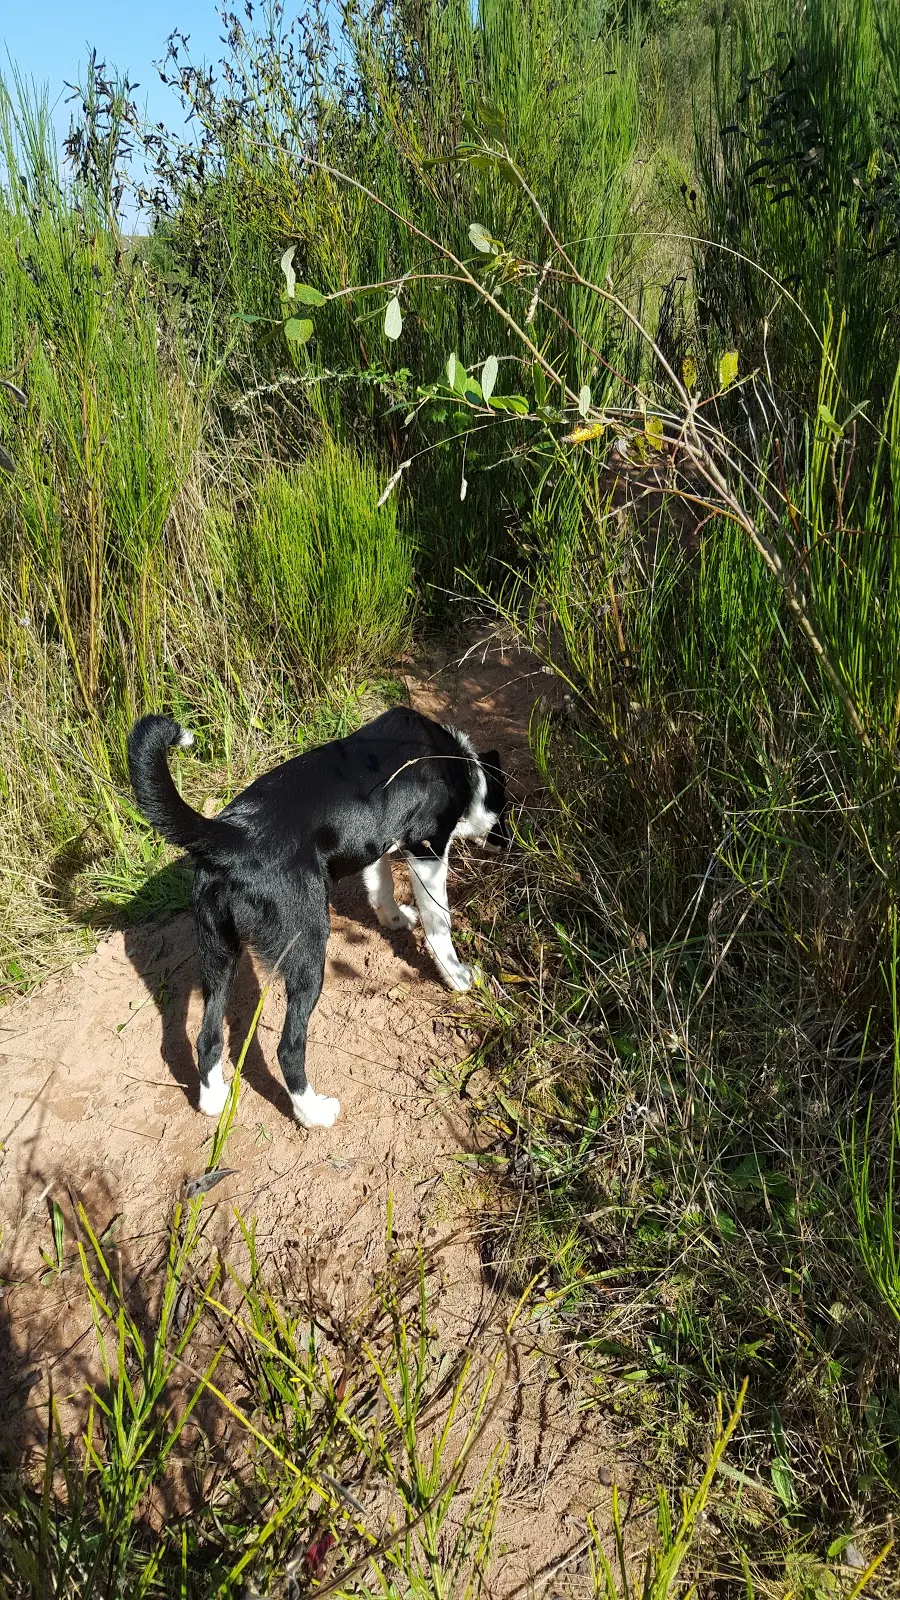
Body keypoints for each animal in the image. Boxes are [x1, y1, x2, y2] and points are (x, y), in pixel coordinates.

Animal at [127, 707, 509, 1132]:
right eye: (506, 807)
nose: (512, 842)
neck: (457, 759)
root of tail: (231, 836)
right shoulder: (428, 850)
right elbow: (439, 924)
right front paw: (458, 978)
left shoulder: (377, 841)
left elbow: (381, 887)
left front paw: (395, 919)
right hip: (308, 951)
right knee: (288, 1048)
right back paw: (312, 1112)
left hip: (218, 954)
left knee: (207, 1037)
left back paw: (214, 1101)